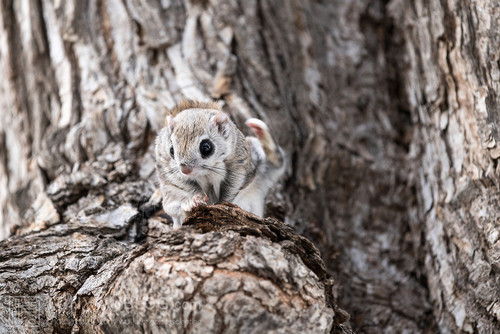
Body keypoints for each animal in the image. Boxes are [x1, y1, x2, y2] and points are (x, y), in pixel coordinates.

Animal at [154, 100, 284, 228]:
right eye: (171, 150)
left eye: (206, 147)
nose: (185, 170)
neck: (206, 174)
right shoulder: (168, 172)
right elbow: (181, 188)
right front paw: (194, 200)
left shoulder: (239, 163)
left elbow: (233, 185)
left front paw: (224, 202)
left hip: (261, 171)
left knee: (277, 163)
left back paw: (260, 130)